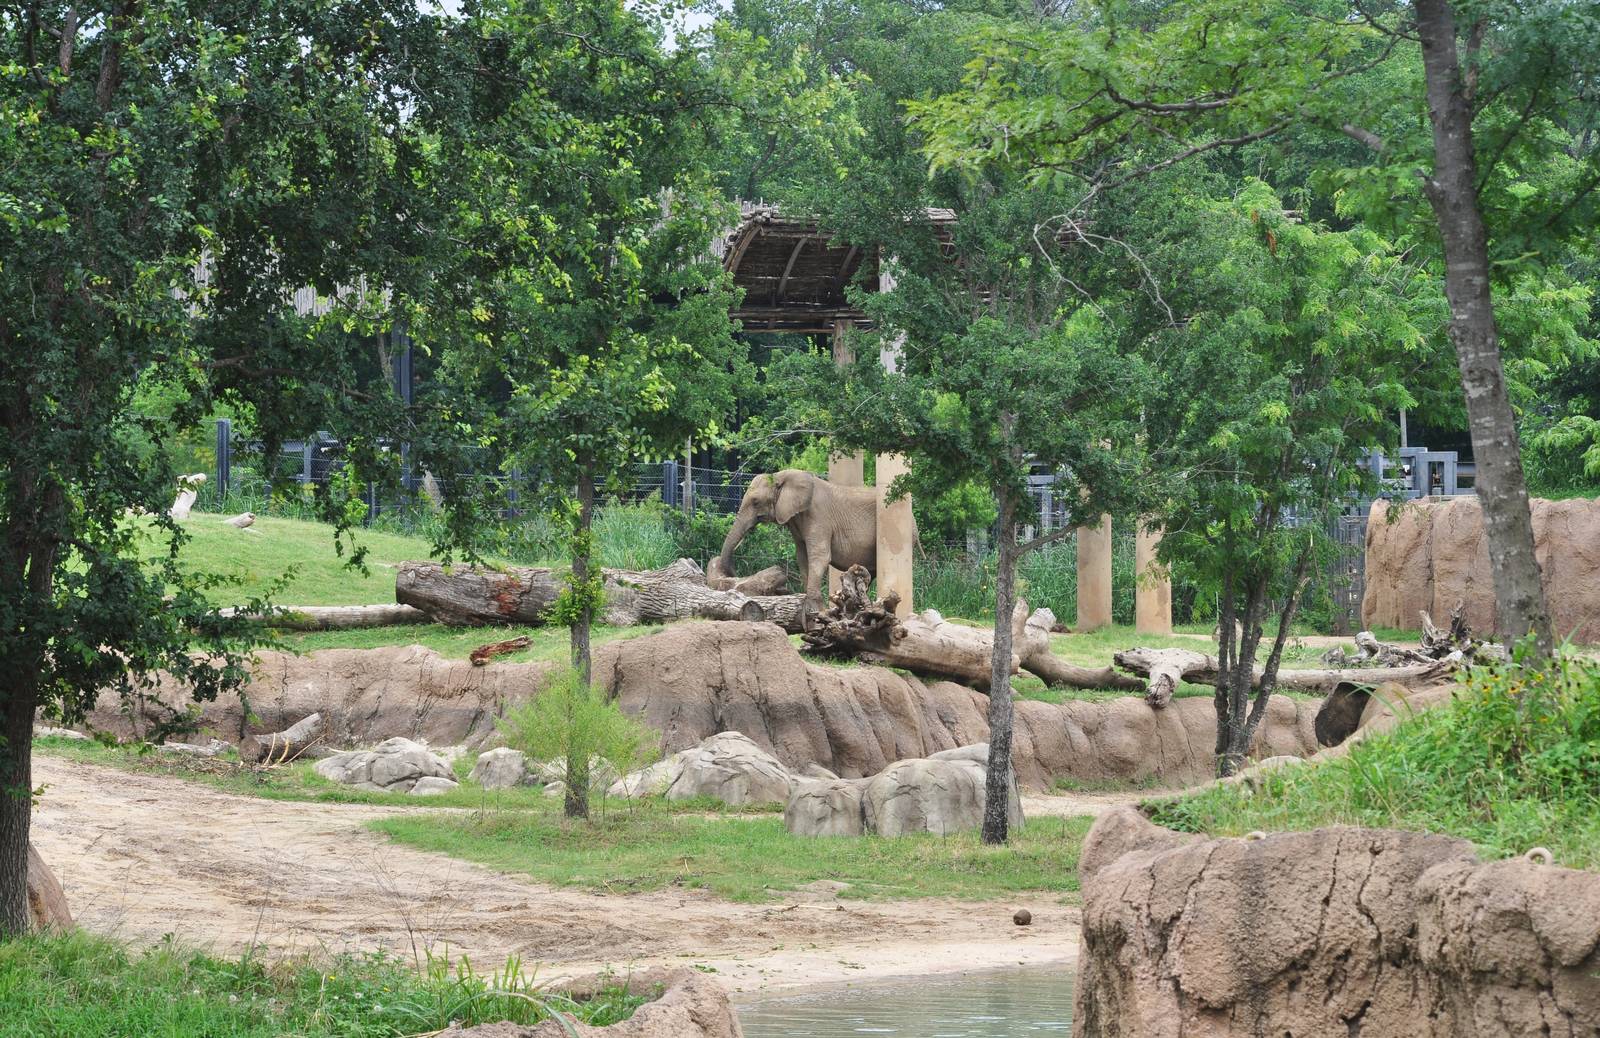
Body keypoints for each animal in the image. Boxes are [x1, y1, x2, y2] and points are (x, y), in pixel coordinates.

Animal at [717, 469, 887, 609]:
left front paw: (816, 608)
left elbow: (819, 556)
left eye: (755, 502)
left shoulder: (819, 516)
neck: (780, 476)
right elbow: (802, 557)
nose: (733, 574)